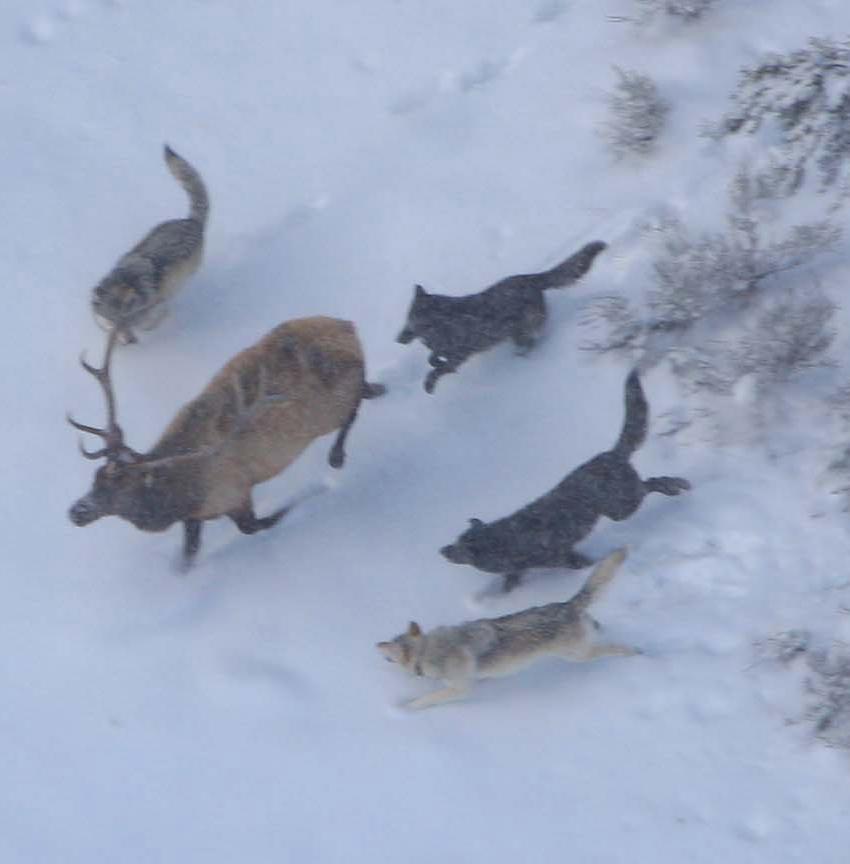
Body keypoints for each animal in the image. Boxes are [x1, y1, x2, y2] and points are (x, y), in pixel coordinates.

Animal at [68, 318, 386, 568]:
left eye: (120, 487)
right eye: (95, 478)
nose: (76, 512)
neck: (181, 494)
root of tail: (348, 326)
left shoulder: (235, 494)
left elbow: (258, 525)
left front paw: (313, 491)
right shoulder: (195, 516)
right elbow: (189, 554)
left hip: (330, 407)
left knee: (352, 409)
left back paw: (337, 456)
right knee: (366, 390)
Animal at [378, 548, 636, 708]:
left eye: (388, 651)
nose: (377, 647)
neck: (429, 650)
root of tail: (567, 605)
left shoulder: (460, 690)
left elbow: (427, 699)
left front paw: (404, 707)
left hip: (578, 656)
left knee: (614, 648)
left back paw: (635, 652)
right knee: (597, 627)